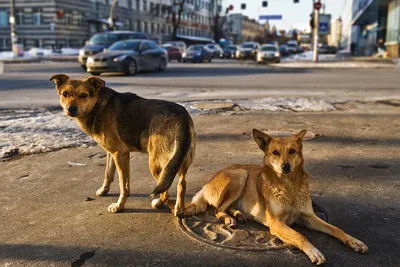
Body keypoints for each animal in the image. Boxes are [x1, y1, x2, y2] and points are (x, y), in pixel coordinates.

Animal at [49, 74, 196, 217]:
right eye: (65, 94)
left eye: (83, 95)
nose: (70, 109)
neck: (98, 106)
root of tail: (181, 117)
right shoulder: (114, 153)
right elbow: (109, 174)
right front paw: (104, 190)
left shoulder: (119, 154)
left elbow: (122, 184)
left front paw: (119, 206)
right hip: (179, 160)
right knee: (182, 184)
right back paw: (179, 209)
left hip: (156, 163)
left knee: (165, 190)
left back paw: (158, 204)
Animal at [184, 130, 368, 266]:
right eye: (275, 153)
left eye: (292, 151)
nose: (285, 166)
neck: (289, 187)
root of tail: (208, 182)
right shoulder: (276, 223)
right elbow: (299, 236)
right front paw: (313, 251)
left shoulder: (309, 217)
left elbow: (336, 229)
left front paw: (354, 242)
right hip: (240, 175)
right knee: (217, 209)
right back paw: (229, 219)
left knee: (225, 207)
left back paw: (238, 214)